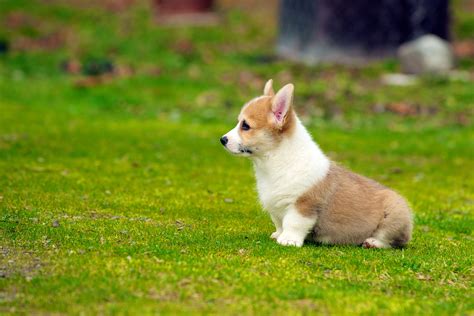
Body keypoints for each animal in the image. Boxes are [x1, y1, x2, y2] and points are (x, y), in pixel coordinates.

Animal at [220, 80, 412, 248]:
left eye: (245, 126)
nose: (222, 139)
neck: (275, 161)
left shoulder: (303, 205)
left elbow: (293, 223)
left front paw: (288, 240)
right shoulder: (275, 206)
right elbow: (279, 222)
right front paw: (278, 234)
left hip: (394, 215)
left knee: (391, 240)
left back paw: (372, 242)